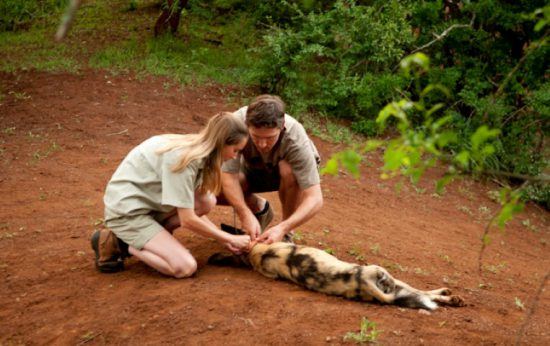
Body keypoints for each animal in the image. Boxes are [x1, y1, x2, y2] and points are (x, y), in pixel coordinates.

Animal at [210, 227, 466, 310]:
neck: (257, 254)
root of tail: (363, 282)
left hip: (392, 286)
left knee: (420, 294)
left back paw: (452, 298)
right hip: (385, 275)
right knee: (422, 293)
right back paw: (449, 296)